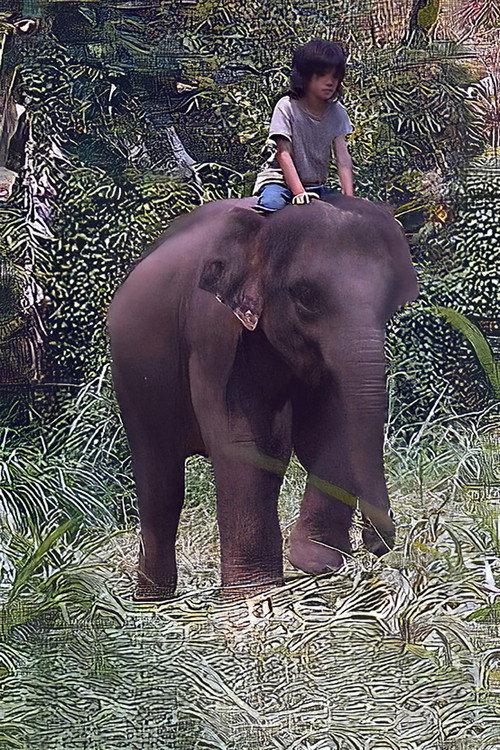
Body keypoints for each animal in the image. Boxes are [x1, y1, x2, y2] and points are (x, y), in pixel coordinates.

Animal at [106, 194, 420, 601]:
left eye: (392, 302)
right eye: (305, 296)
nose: (375, 542)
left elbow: (331, 429)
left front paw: (314, 561)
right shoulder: (215, 332)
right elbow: (245, 443)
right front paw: (254, 595)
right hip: (132, 379)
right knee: (160, 481)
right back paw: (152, 602)